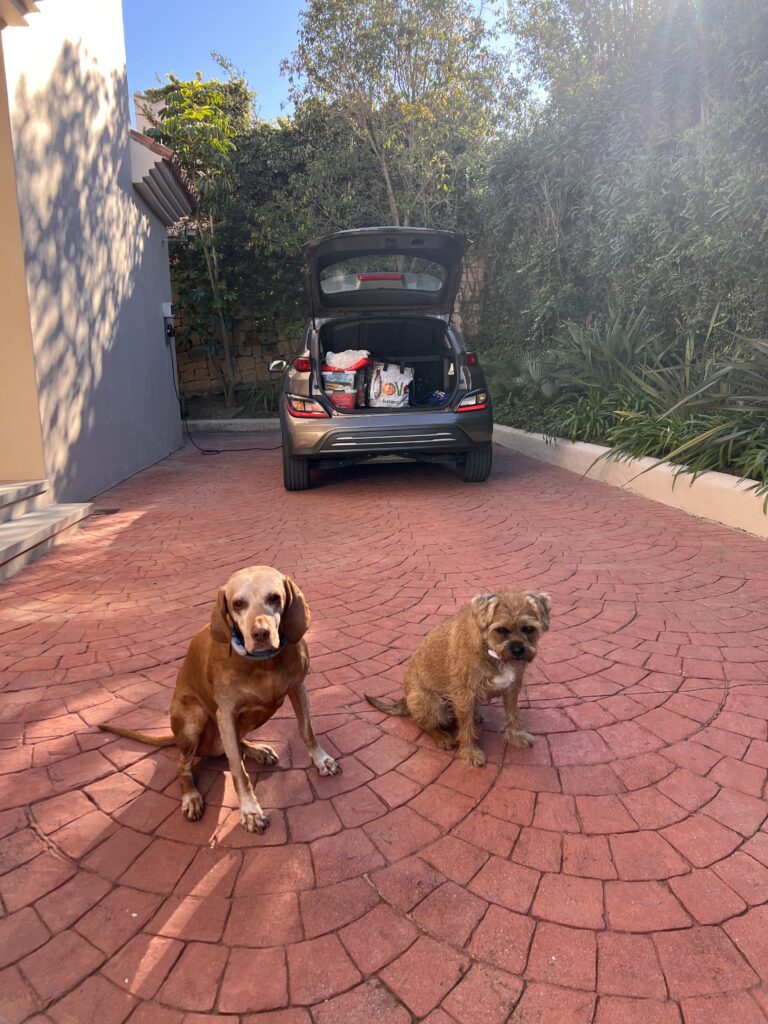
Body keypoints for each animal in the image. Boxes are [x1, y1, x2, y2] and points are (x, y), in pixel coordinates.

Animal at [99, 569, 339, 831]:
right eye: (238, 604)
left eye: (275, 598)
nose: (261, 634)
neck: (264, 663)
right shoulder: (226, 714)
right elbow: (238, 770)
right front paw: (250, 810)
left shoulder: (298, 689)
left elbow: (307, 730)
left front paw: (321, 759)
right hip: (194, 721)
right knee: (185, 765)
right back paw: (191, 796)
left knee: (233, 744)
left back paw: (257, 751)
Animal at [366, 589, 552, 765]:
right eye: (501, 630)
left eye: (529, 629)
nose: (518, 650)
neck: (490, 650)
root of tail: (405, 700)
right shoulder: (464, 695)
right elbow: (466, 728)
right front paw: (470, 753)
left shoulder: (512, 689)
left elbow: (513, 715)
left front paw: (516, 736)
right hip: (432, 702)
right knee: (423, 724)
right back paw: (441, 737)